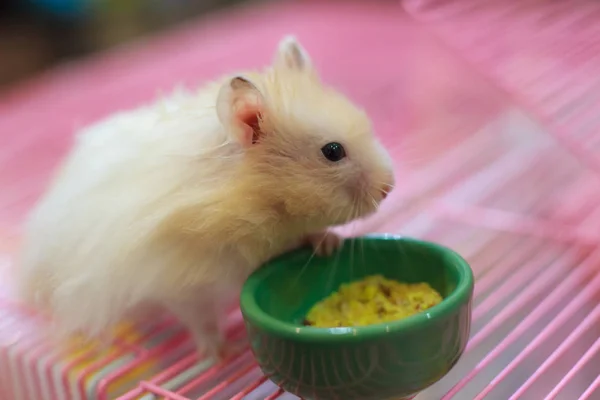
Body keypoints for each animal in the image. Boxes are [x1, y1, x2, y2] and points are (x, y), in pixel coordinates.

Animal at [17, 35, 394, 360]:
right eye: (332, 151)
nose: (389, 187)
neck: (256, 205)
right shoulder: (179, 283)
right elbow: (199, 319)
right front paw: (220, 353)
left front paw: (328, 243)